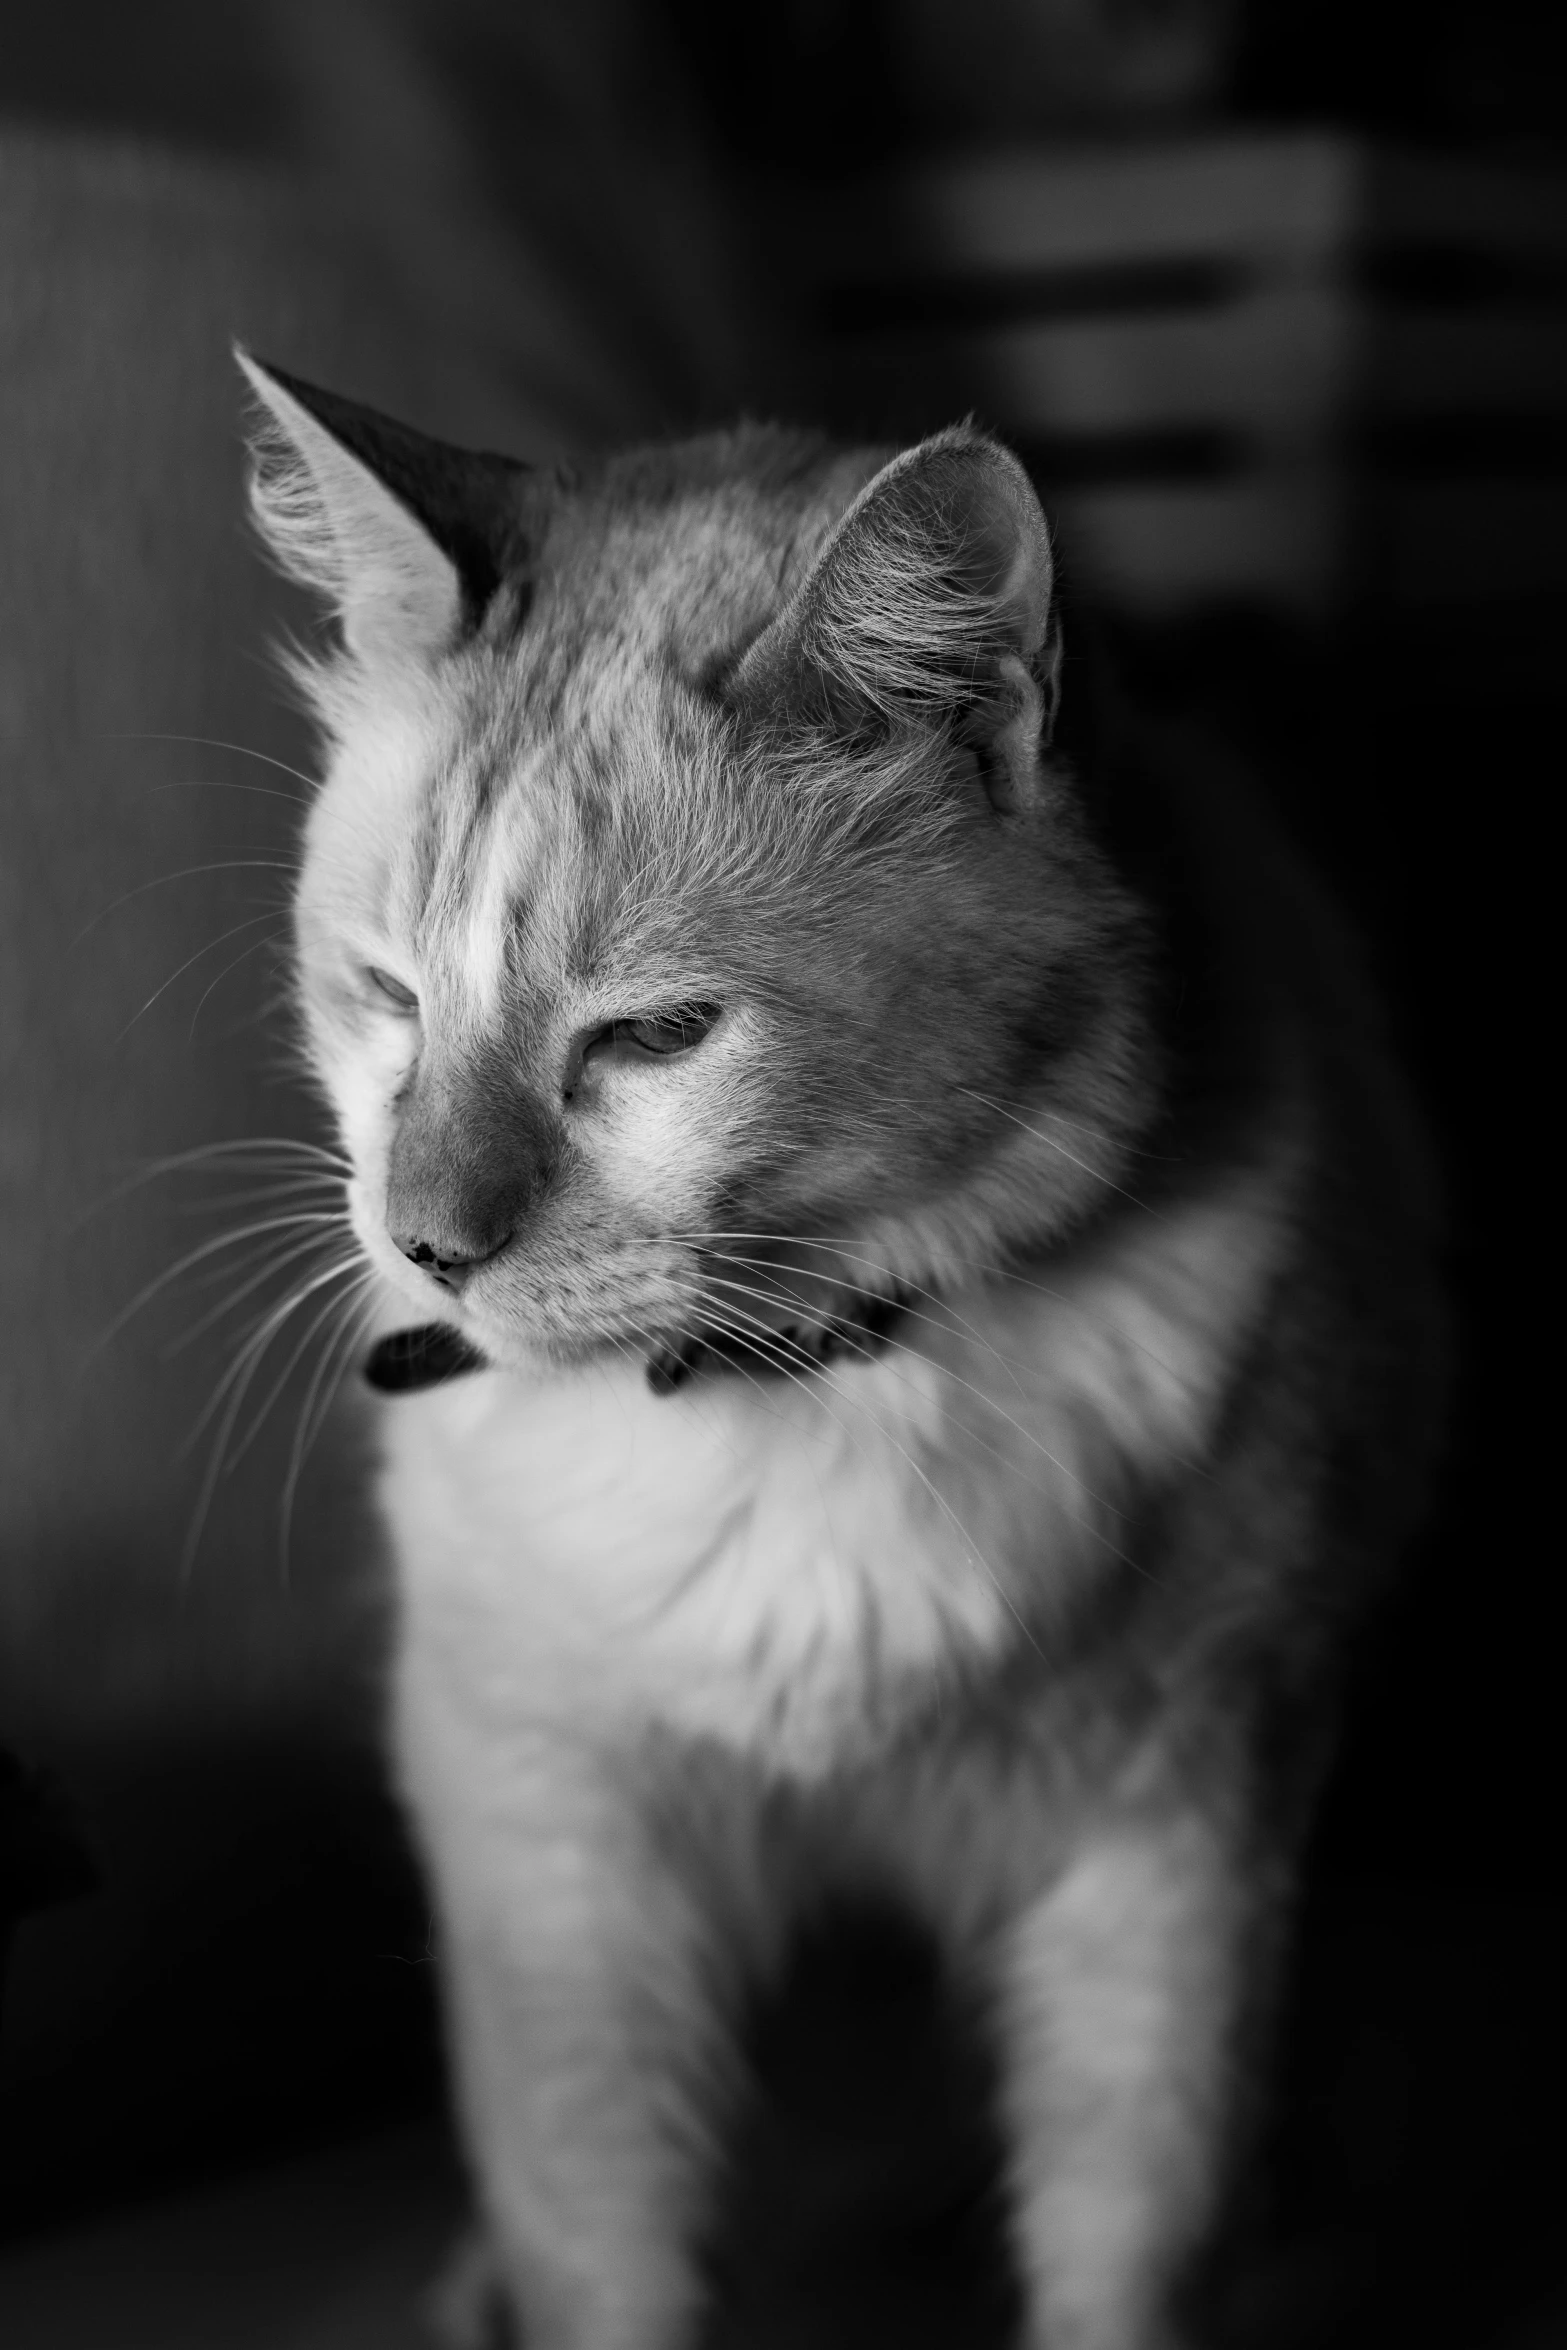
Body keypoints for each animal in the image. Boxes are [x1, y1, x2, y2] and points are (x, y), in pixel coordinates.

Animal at [236, 352, 1447, 2350]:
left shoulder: (1172, 1851)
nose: (427, 1247)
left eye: (653, 1038)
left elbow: (1131, 2242)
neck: (789, 1384)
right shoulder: (555, 1863)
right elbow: (604, 2253)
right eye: (387, 996)